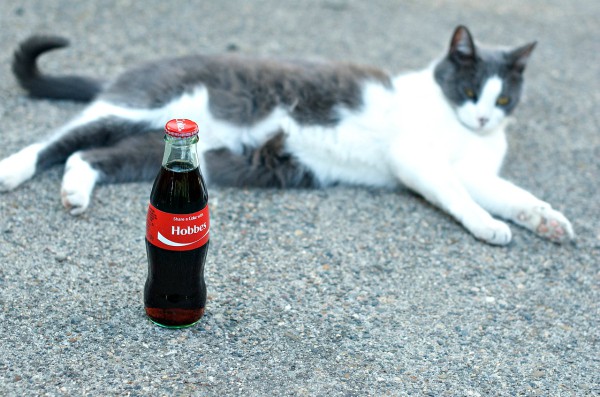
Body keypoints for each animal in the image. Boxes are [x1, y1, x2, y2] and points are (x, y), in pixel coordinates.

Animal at [0, 25, 576, 244]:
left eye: (503, 99)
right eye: (469, 88)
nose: (482, 119)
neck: (464, 136)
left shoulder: (476, 171)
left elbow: (510, 194)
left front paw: (546, 219)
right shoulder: (415, 160)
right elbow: (457, 195)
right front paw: (487, 225)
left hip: (172, 154)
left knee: (92, 156)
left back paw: (76, 192)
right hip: (144, 103)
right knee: (60, 141)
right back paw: (11, 171)